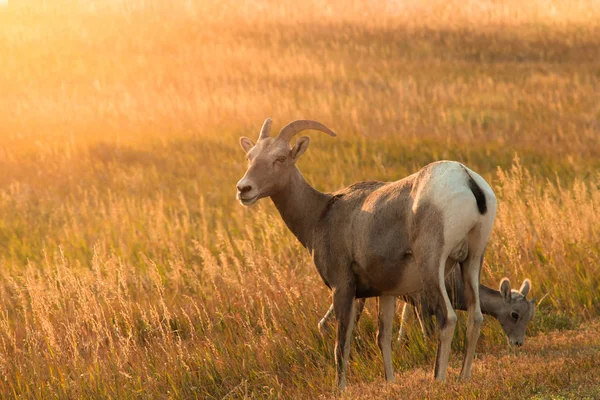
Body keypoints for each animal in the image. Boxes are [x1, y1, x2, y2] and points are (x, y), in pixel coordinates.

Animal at [237, 118, 500, 388]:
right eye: (250, 156)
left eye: (280, 158)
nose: (244, 189)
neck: (320, 213)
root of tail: (467, 179)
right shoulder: (387, 293)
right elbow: (382, 337)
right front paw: (390, 381)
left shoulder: (343, 289)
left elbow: (341, 343)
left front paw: (340, 387)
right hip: (473, 261)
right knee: (475, 317)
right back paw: (463, 377)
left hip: (432, 266)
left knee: (447, 318)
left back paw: (438, 379)